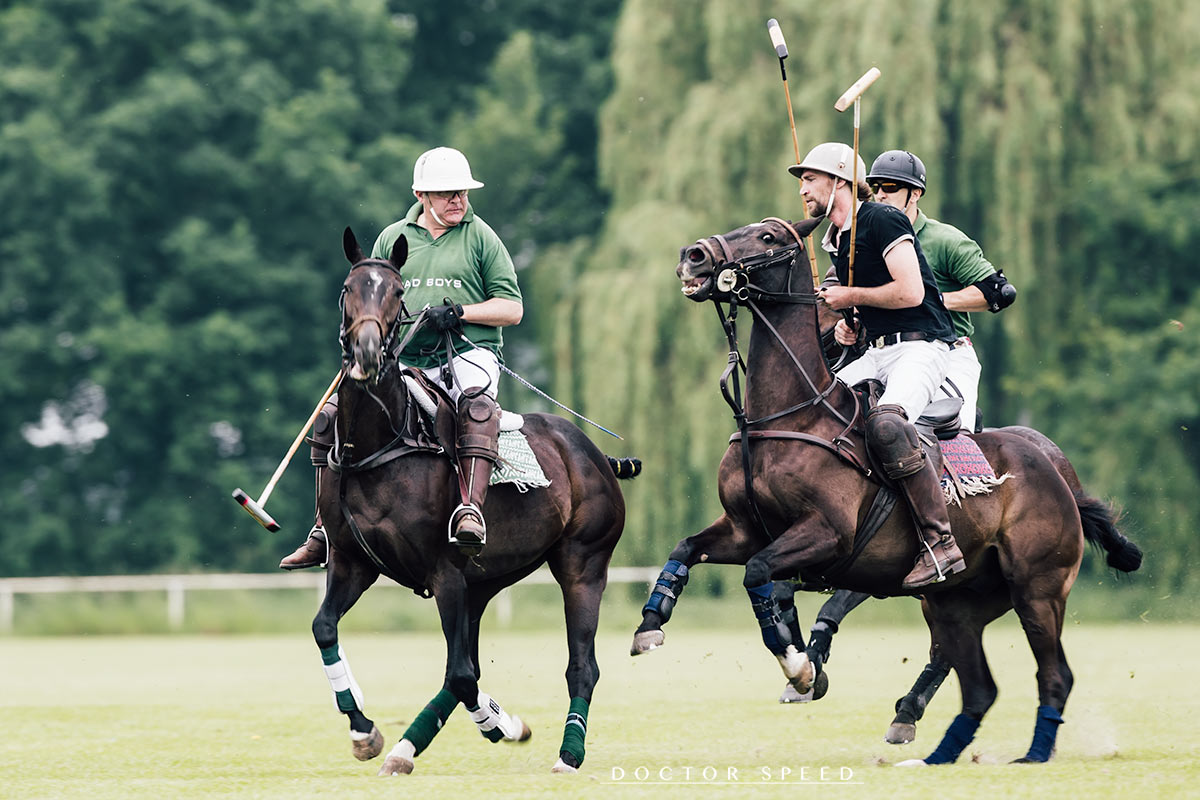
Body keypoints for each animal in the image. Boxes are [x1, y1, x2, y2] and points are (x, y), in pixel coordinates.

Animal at [311, 227, 640, 775]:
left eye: (397, 292)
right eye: (348, 289)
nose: (368, 352)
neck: (382, 443)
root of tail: (594, 453)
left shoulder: (444, 571)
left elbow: (463, 674)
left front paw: (501, 725)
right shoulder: (354, 560)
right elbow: (324, 629)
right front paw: (365, 732)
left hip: (583, 562)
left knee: (581, 665)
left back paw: (567, 755)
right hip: (485, 580)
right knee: (466, 664)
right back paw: (417, 745)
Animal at [631, 216, 1143, 765]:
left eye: (768, 237)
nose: (693, 256)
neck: (788, 415)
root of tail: (1054, 467)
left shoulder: (830, 535)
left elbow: (761, 573)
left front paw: (799, 665)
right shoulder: (745, 528)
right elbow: (689, 549)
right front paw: (650, 625)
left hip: (1037, 588)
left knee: (1052, 673)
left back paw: (1023, 750)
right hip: (959, 600)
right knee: (971, 676)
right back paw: (927, 736)